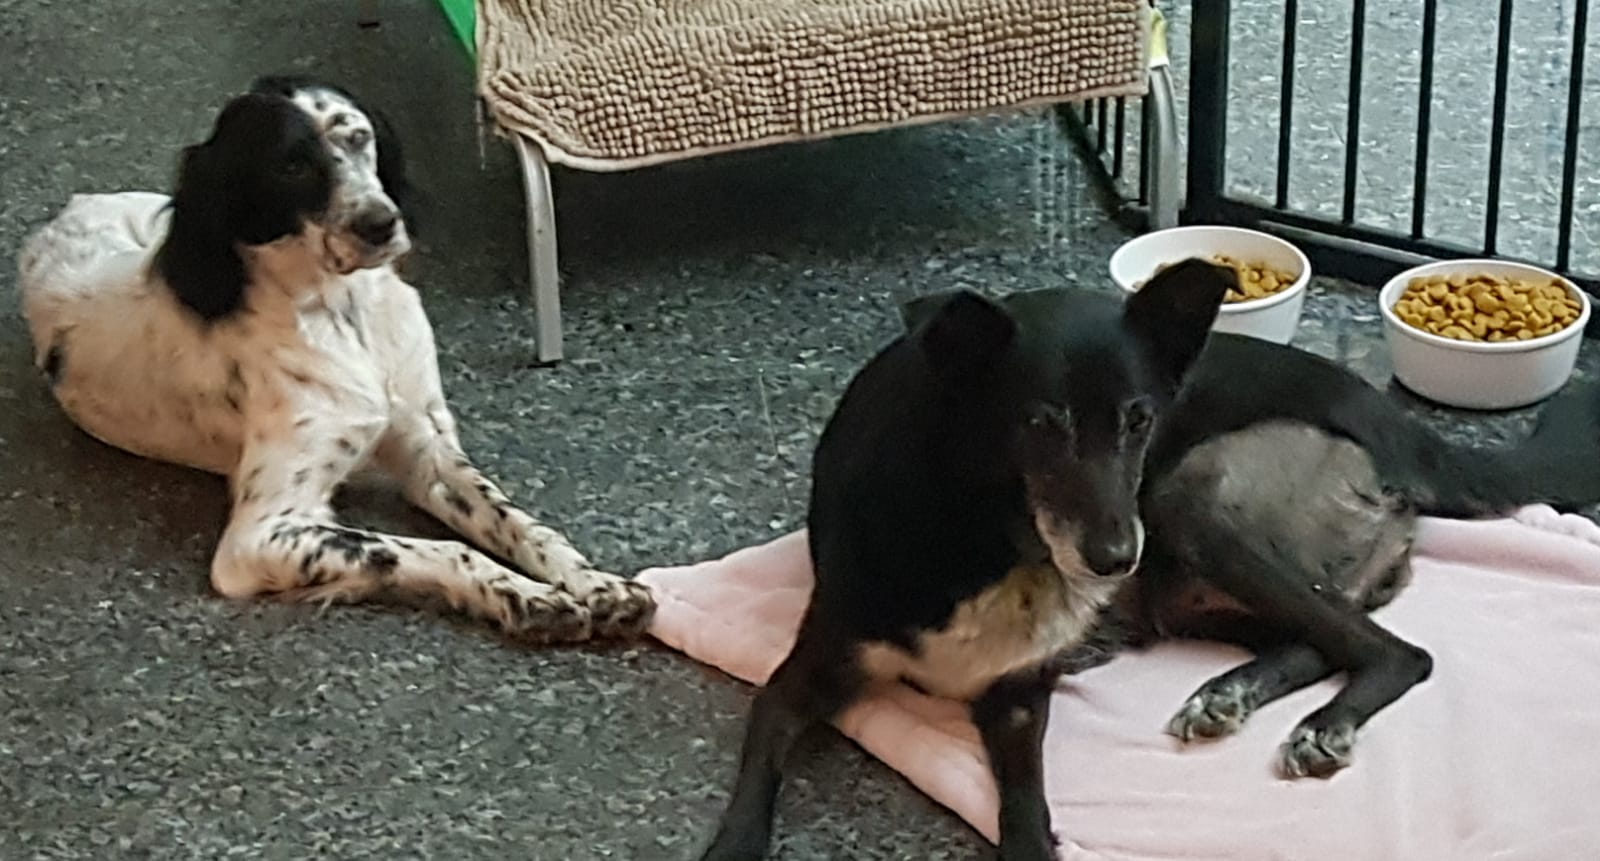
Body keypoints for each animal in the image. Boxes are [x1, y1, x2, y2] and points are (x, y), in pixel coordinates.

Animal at [16, 74, 654, 643]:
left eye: (359, 137)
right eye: (290, 166)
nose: (381, 223)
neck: (347, 314)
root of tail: (74, 205)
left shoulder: (428, 451)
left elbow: (522, 523)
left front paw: (596, 583)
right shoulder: (261, 536)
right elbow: (433, 549)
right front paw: (527, 597)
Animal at [698, 258, 1600, 860]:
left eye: (1139, 418)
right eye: (1041, 423)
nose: (1111, 560)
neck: (989, 539)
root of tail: (1405, 429)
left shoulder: (1019, 699)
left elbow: (1023, 808)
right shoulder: (806, 671)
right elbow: (758, 769)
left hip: (1188, 500)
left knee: (1394, 649)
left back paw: (1320, 723)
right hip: (1185, 578)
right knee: (1321, 641)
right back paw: (1231, 694)